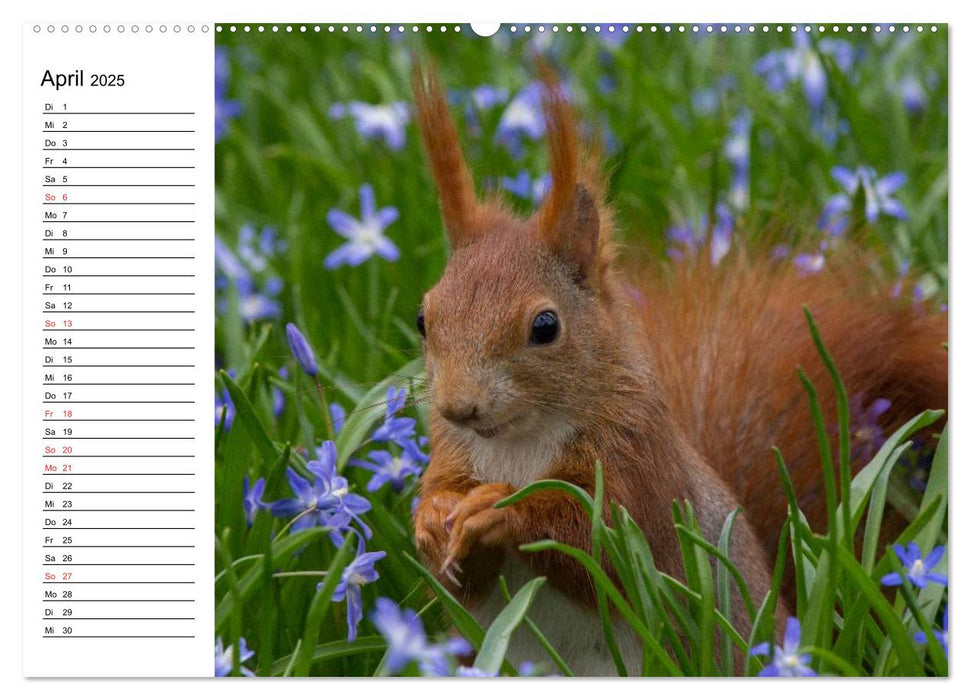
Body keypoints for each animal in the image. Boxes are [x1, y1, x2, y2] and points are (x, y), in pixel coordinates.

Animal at [406, 65, 944, 680]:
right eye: (424, 318)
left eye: (545, 326)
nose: (458, 406)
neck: (519, 441)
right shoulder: (453, 455)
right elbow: (463, 582)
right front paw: (432, 519)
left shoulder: (638, 464)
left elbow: (598, 546)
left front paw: (497, 509)